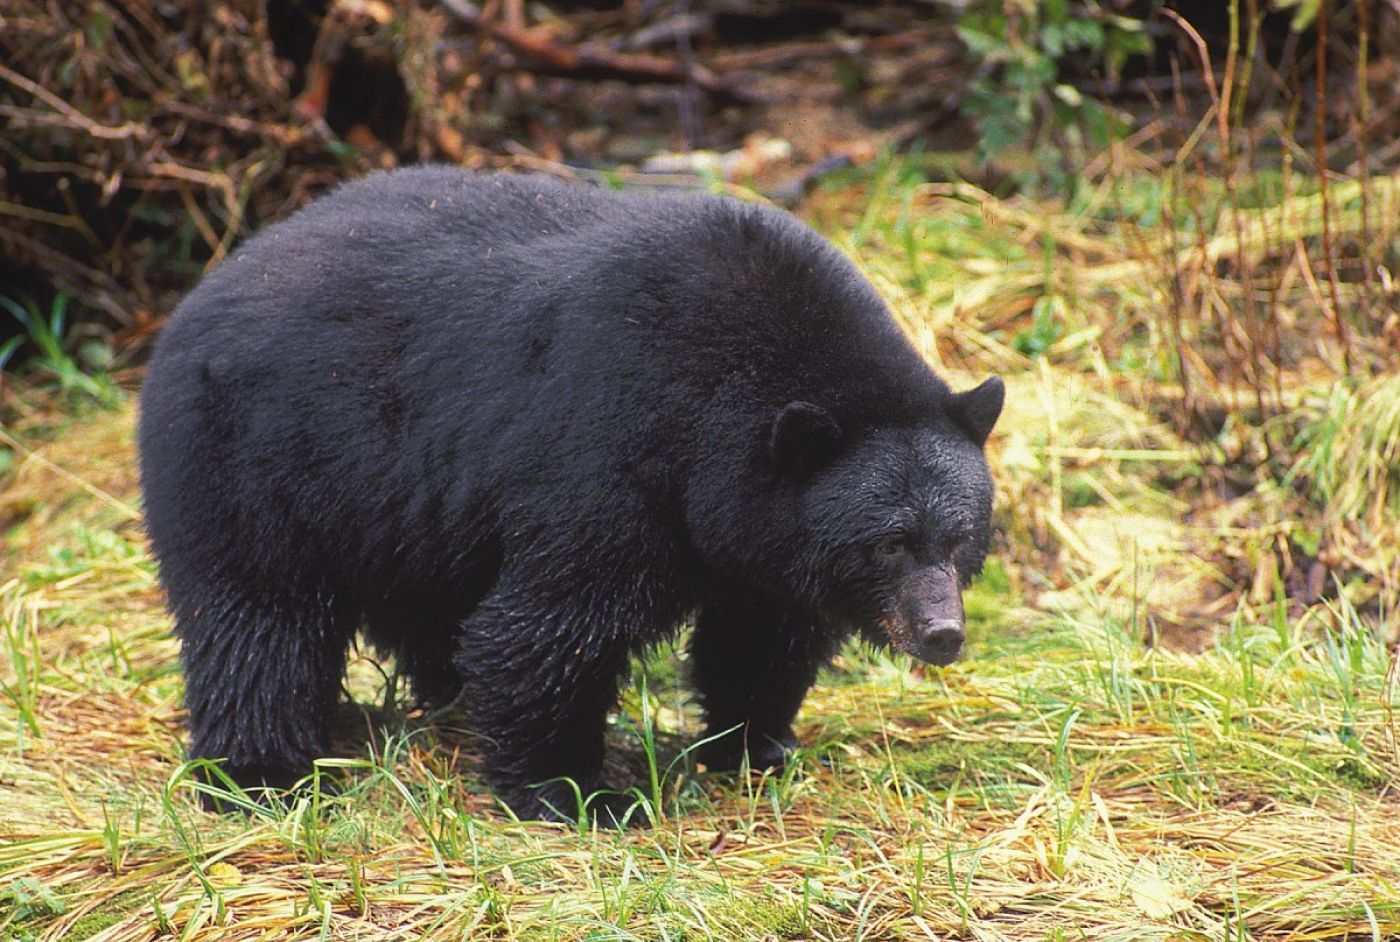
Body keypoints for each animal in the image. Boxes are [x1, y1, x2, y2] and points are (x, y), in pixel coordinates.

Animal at [136, 167, 1002, 823]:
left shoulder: (762, 534)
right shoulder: (606, 456)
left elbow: (760, 633)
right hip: (253, 464)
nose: (941, 635)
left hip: (404, 512)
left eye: (959, 536)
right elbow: (550, 629)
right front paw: (579, 792)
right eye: (889, 541)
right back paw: (258, 774)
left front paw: (760, 747)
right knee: (257, 623)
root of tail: (199, 295)